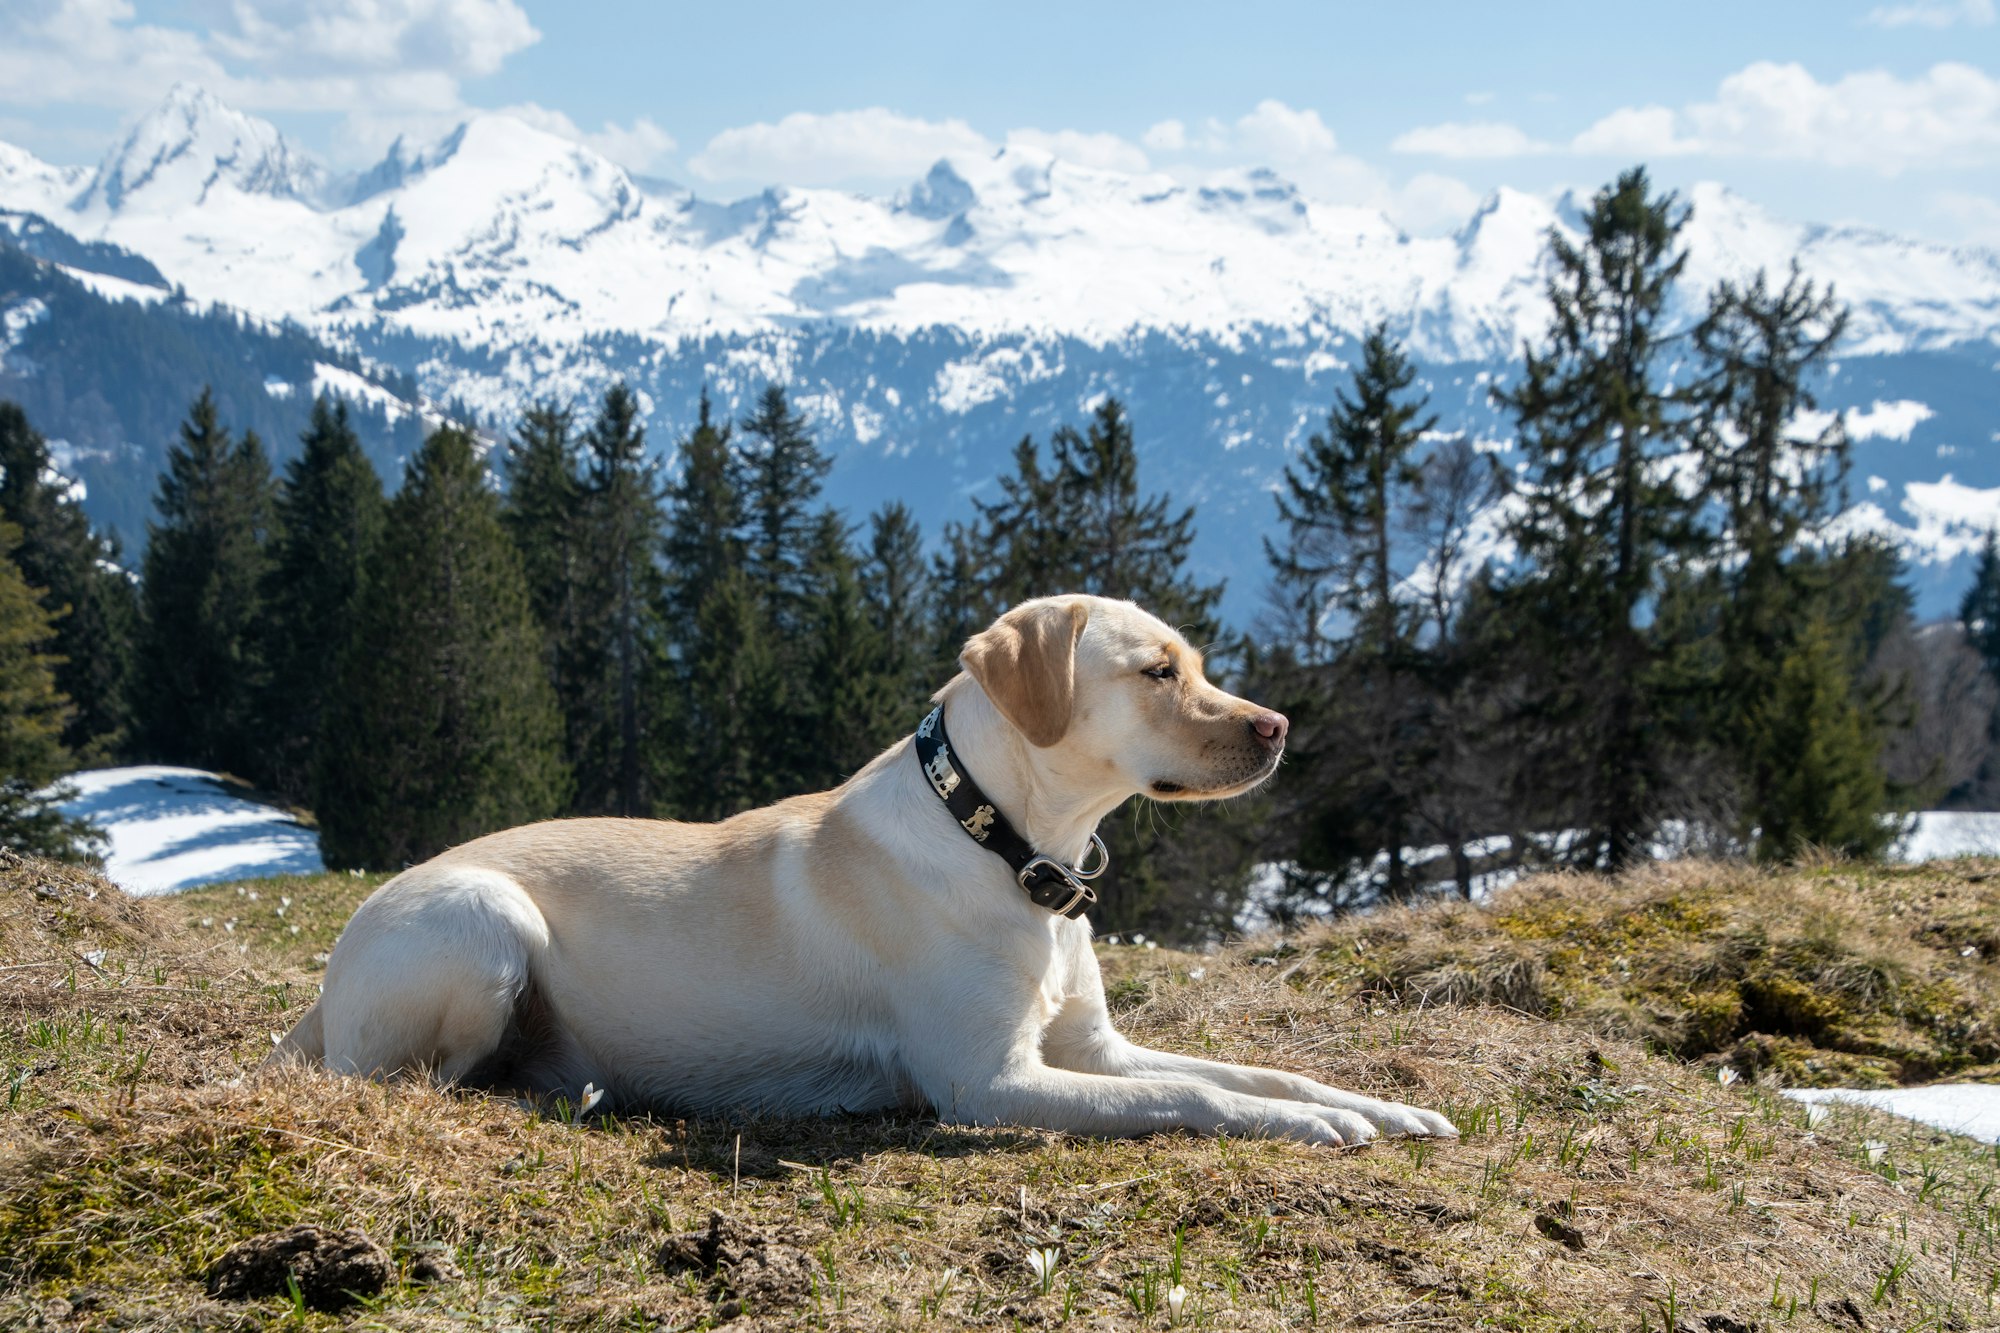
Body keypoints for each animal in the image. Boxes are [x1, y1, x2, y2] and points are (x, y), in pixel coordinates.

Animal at [270, 592, 1456, 1144]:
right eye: (1157, 671)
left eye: (1198, 664)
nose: (1278, 727)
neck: (1006, 846)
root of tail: (323, 986)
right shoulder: (990, 1083)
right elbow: (1193, 1095)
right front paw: (1310, 1127)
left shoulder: (1092, 1049)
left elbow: (1255, 1071)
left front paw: (1373, 1106)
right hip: (483, 922)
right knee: (409, 1078)